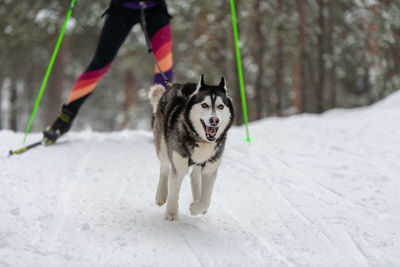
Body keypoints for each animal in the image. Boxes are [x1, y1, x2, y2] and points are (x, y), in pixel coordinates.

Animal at [148, 75, 233, 222]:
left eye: (220, 106)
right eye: (204, 105)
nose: (214, 120)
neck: (201, 140)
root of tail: (173, 86)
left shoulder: (210, 169)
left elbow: (206, 200)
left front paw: (195, 207)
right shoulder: (179, 165)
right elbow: (174, 192)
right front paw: (171, 214)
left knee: (194, 175)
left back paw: (197, 197)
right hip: (164, 146)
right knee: (164, 168)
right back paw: (161, 194)